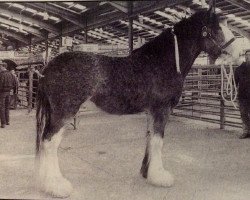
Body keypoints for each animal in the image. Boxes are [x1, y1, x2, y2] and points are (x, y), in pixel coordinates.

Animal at [34, 8, 236, 198]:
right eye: (217, 28)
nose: (238, 51)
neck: (161, 62)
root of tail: (47, 68)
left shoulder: (151, 112)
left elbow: (150, 138)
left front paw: (147, 172)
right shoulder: (161, 110)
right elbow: (158, 141)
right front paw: (160, 177)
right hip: (64, 113)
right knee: (50, 143)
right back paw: (57, 186)